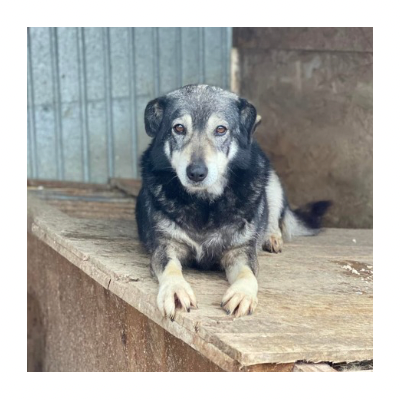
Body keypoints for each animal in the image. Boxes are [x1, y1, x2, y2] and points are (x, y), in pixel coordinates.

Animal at [135, 84, 330, 320]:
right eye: (179, 128)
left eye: (221, 129)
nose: (196, 173)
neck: (205, 204)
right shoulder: (166, 246)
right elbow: (170, 268)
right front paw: (175, 290)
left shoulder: (241, 251)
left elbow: (248, 274)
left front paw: (242, 294)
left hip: (272, 182)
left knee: (273, 215)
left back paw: (271, 237)